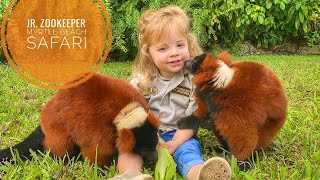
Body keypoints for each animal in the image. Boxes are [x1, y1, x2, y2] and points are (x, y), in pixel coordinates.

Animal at [0, 73, 160, 167]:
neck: (126, 112)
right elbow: (96, 151)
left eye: (155, 144)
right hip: (53, 123)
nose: (155, 159)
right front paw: (101, 169)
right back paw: (63, 160)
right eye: (145, 149)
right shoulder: (102, 132)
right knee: (61, 143)